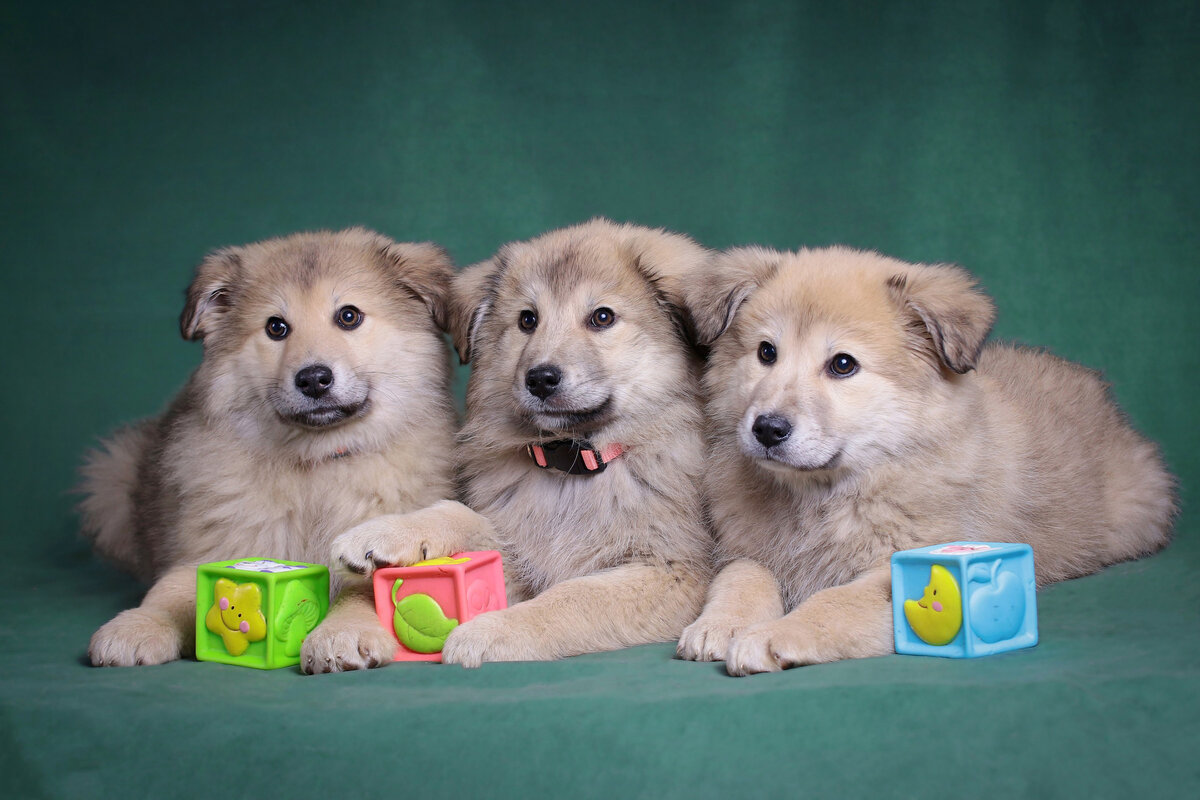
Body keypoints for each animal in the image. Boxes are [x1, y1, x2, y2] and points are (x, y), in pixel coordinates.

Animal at [78, 227, 453, 671]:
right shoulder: (214, 545)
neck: (317, 462)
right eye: (276, 327)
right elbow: (172, 590)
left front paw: (342, 633)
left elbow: (364, 590)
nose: (313, 379)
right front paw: (139, 625)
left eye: (349, 316)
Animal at [333, 220, 710, 671]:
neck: (573, 464)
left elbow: (575, 597)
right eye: (527, 320)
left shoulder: (676, 571)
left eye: (602, 317)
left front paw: (493, 629)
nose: (540, 379)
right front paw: (388, 532)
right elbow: (461, 514)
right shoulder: (516, 537)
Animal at [681, 245, 1176, 676]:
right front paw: (719, 624)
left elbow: (833, 603)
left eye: (843, 364)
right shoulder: (748, 548)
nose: (767, 429)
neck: (827, 492)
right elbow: (741, 578)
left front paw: (774, 635)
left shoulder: (897, 573)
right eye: (766, 352)